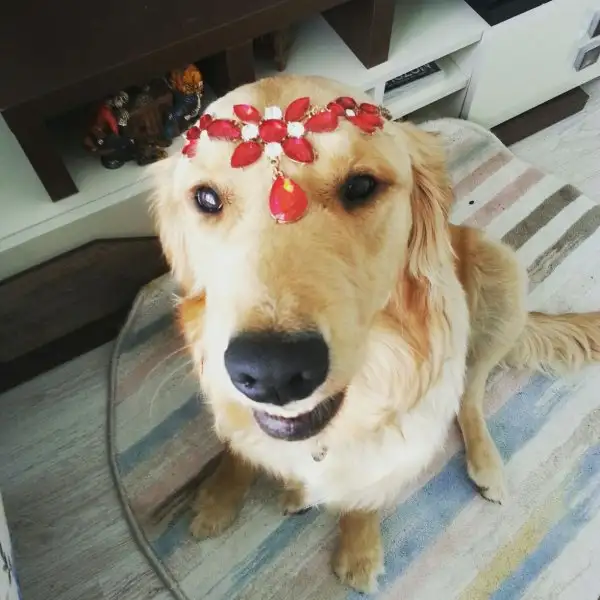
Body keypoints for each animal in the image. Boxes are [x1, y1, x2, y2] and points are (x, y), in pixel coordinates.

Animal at [151, 75, 600, 593]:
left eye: (361, 186)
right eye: (206, 199)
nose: (271, 373)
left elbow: (365, 494)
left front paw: (359, 551)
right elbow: (237, 446)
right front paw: (221, 495)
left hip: (500, 274)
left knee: (470, 391)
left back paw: (486, 463)